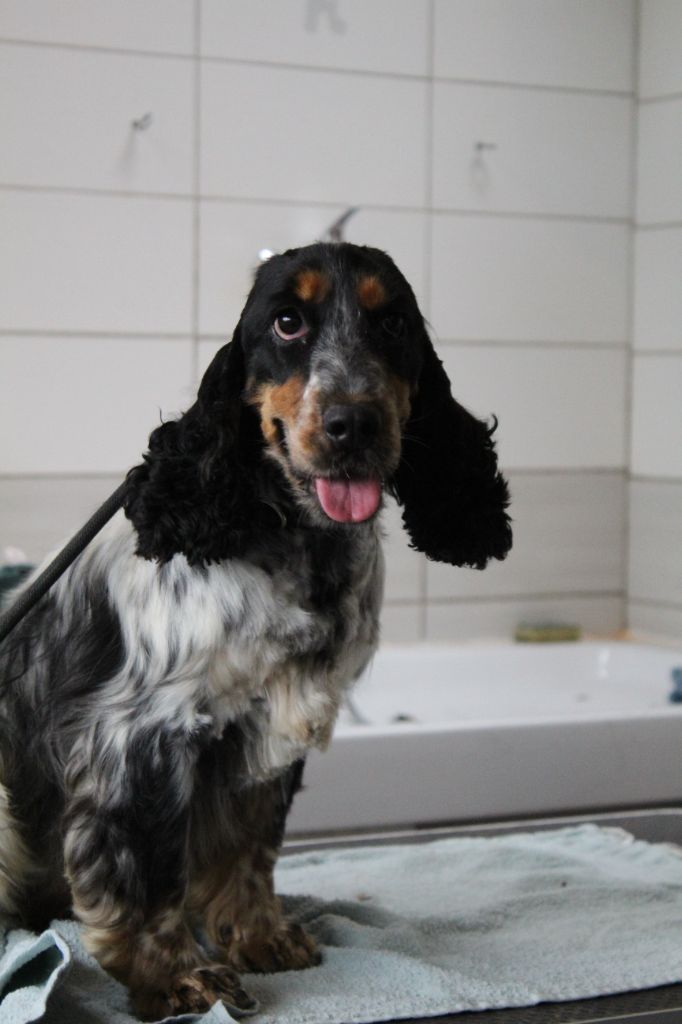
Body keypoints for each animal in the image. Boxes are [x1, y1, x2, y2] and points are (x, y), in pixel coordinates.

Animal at [0, 242, 511, 1018]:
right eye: (288, 322)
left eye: (393, 323)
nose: (352, 423)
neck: (294, 540)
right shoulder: (142, 735)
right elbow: (150, 873)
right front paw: (175, 977)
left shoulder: (266, 723)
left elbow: (248, 844)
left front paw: (261, 936)